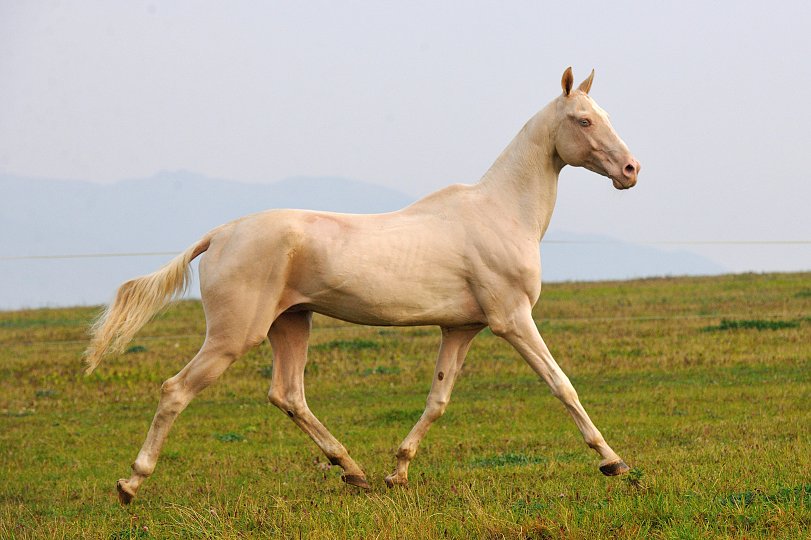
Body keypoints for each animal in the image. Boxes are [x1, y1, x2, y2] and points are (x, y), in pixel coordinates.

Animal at [84, 66, 640, 502]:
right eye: (584, 120)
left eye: (607, 115)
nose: (631, 170)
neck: (502, 213)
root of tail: (220, 234)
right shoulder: (512, 320)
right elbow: (562, 385)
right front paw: (614, 463)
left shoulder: (460, 329)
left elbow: (438, 400)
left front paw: (398, 471)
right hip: (233, 335)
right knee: (177, 390)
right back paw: (130, 484)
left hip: (291, 324)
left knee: (288, 395)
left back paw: (354, 473)